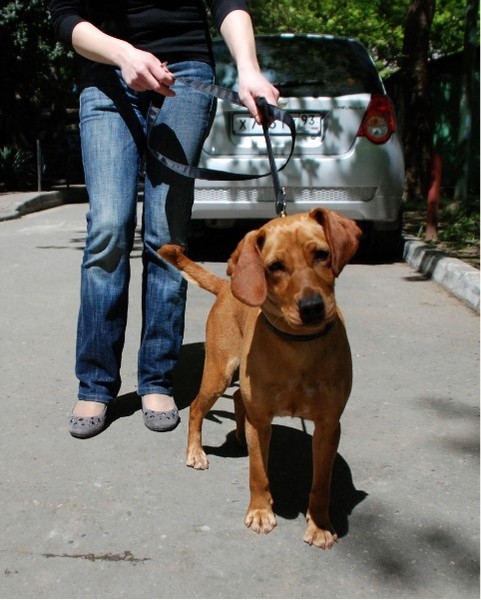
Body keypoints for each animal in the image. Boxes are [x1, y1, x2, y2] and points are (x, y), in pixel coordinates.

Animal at [159, 207, 361, 548]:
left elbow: (321, 483)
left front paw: (319, 525)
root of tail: (227, 286)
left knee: (239, 397)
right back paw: (196, 452)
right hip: (220, 371)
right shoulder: (262, 419)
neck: (298, 347)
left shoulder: (328, 425)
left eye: (321, 254)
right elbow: (258, 473)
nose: (312, 307)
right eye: (275, 267)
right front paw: (260, 511)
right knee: (198, 408)